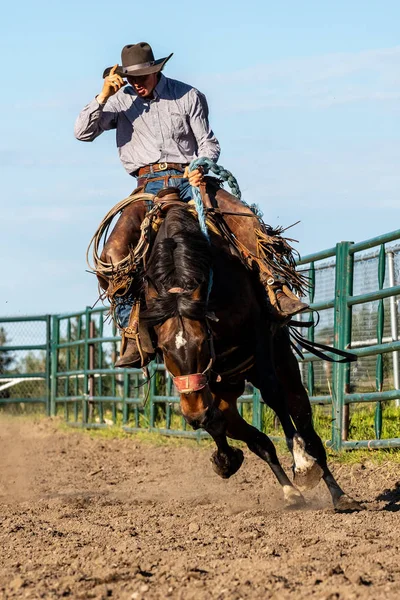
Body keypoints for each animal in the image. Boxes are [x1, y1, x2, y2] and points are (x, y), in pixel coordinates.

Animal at [142, 204, 360, 508]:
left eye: (202, 341)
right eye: (162, 349)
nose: (193, 415)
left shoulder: (258, 339)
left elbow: (274, 397)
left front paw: (302, 462)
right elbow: (223, 425)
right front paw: (226, 460)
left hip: (281, 365)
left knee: (303, 422)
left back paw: (337, 492)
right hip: (224, 392)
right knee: (252, 437)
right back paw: (285, 488)